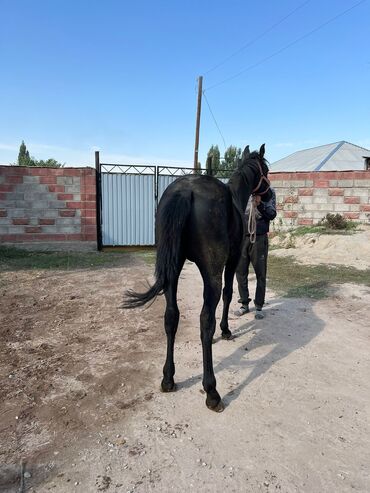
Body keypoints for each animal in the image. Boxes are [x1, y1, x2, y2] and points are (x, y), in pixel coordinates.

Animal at [124, 143, 272, 412]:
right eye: (266, 169)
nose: (268, 197)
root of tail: (186, 191)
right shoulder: (232, 262)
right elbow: (228, 294)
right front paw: (225, 331)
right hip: (210, 272)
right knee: (205, 320)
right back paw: (212, 392)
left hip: (172, 269)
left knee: (171, 316)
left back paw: (168, 378)